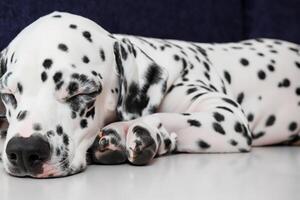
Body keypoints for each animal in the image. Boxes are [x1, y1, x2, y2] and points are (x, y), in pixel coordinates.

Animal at [0, 11, 300, 177]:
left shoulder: (228, 118)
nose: (25, 151)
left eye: (82, 92)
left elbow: (169, 117)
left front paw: (128, 129)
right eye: (8, 93)